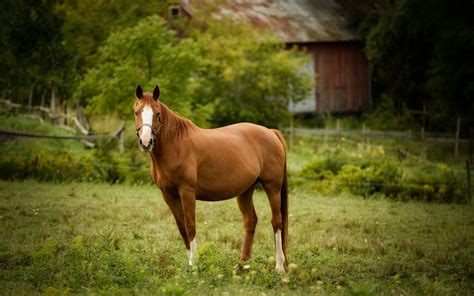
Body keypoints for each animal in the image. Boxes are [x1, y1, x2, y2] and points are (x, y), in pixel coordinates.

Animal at [133, 84, 288, 272]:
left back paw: (279, 266)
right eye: (136, 112)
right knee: (250, 221)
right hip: (245, 191)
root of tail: (271, 132)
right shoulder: (168, 195)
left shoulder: (187, 192)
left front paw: (194, 264)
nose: (146, 142)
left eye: (157, 113)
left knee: (277, 222)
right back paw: (242, 264)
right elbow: (182, 228)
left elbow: (190, 226)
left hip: (272, 187)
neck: (175, 145)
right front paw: (190, 262)